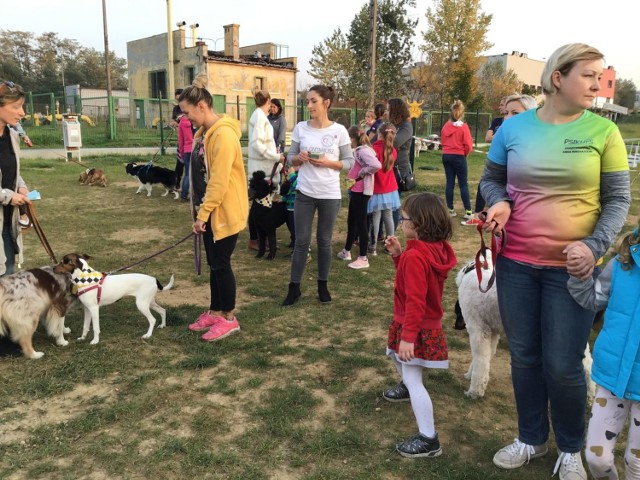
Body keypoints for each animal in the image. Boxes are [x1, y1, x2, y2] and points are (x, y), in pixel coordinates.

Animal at [456, 249, 596, 400]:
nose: (456, 326)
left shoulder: (478, 330)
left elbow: (480, 361)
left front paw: (474, 391)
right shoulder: (491, 332)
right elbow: (485, 358)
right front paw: (471, 375)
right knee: (588, 365)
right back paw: (590, 394)